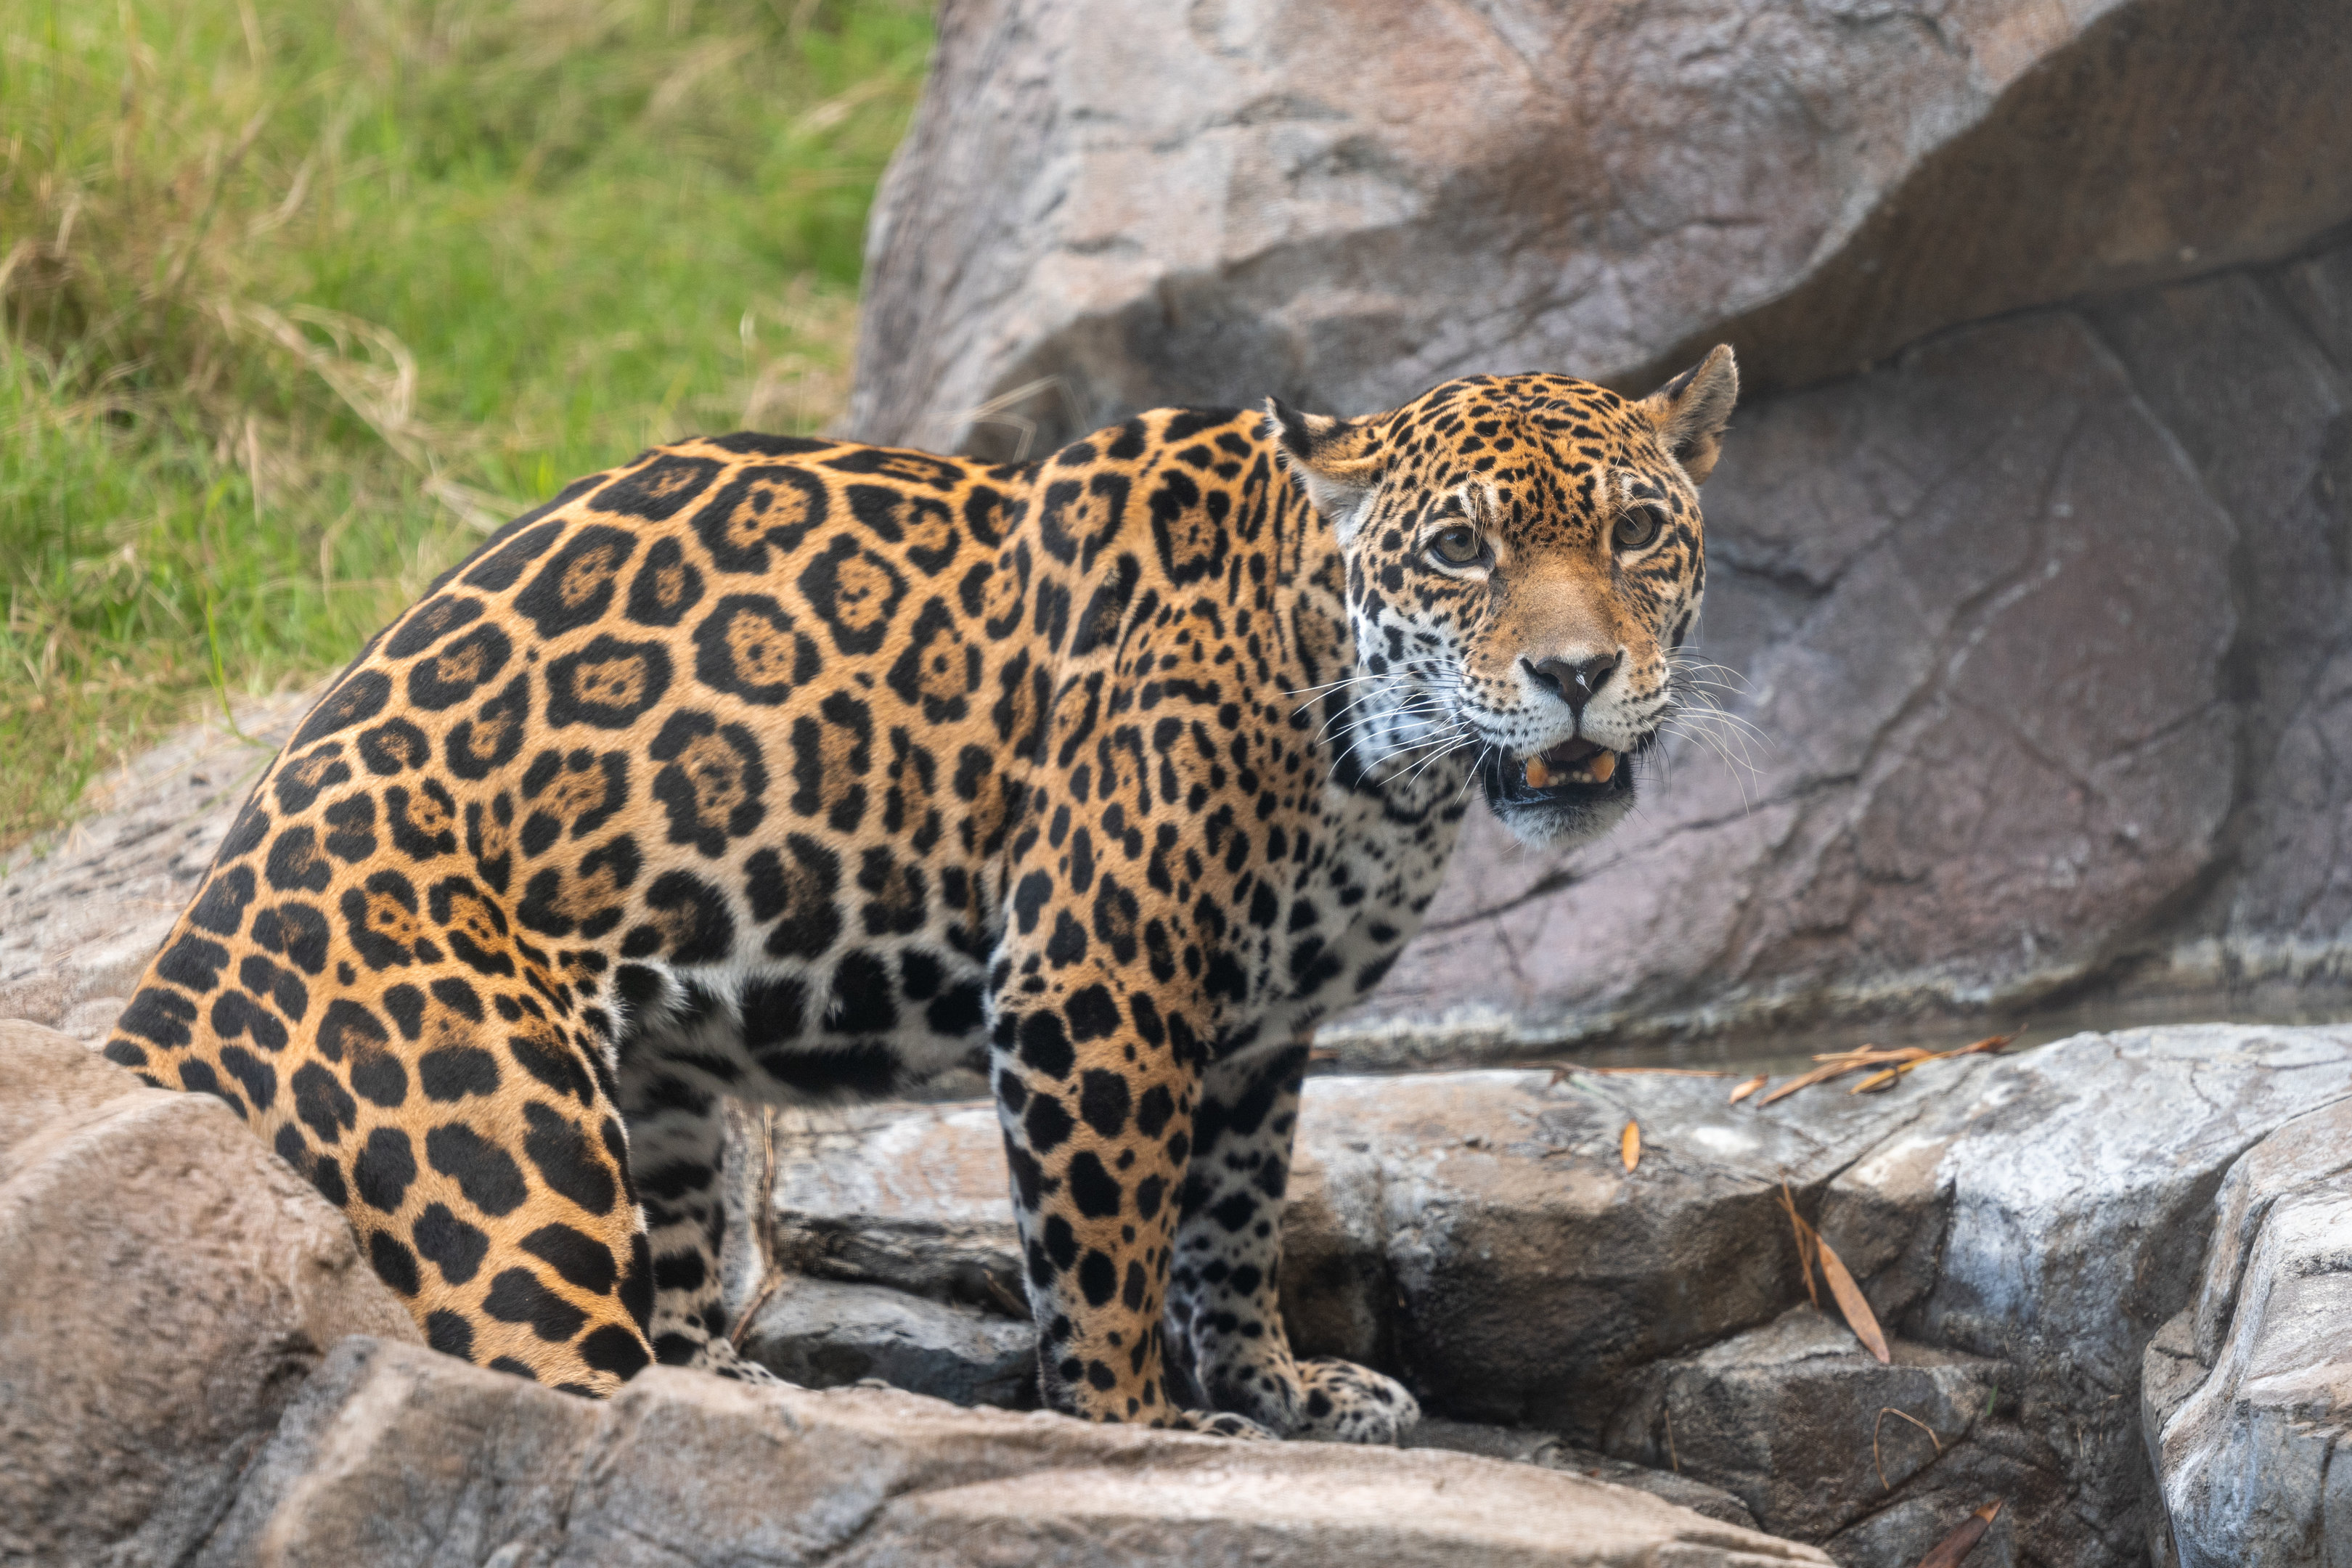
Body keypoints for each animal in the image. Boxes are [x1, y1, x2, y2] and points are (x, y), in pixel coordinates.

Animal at [100, 344, 1738, 1441]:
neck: (1377, 752)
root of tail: (182, 960)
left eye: (1637, 531)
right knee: (545, 1381)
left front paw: (1284, 1388)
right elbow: (1110, 1250)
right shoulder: (1096, 984)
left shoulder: (1264, 1031)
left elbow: (1230, 1221)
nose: (1576, 675)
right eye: (1462, 548)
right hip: (510, 1164)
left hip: (664, 1113)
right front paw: (1141, 1431)